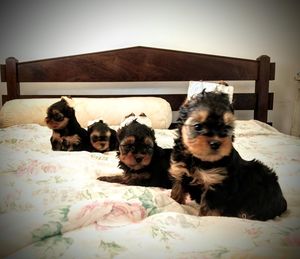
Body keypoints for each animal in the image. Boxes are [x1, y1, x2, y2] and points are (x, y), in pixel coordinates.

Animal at [170, 91, 288, 221]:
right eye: (197, 126)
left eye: (226, 128)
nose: (215, 143)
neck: (198, 159)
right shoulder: (180, 171)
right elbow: (177, 190)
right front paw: (175, 201)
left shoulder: (216, 185)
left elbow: (208, 210)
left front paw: (204, 218)